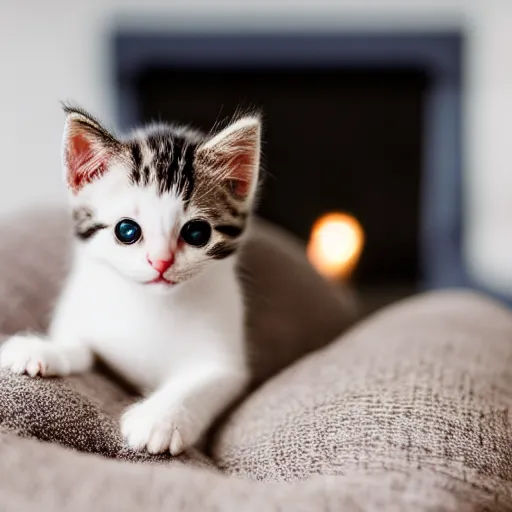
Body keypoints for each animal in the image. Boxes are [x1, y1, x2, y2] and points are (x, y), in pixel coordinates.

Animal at [0, 106, 262, 454]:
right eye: (127, 230)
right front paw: (42, 349)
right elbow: (81, 345)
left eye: (197, 233)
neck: (150, 303)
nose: (161, 261)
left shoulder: (226, 362)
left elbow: (202, 382)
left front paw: (161, 419)